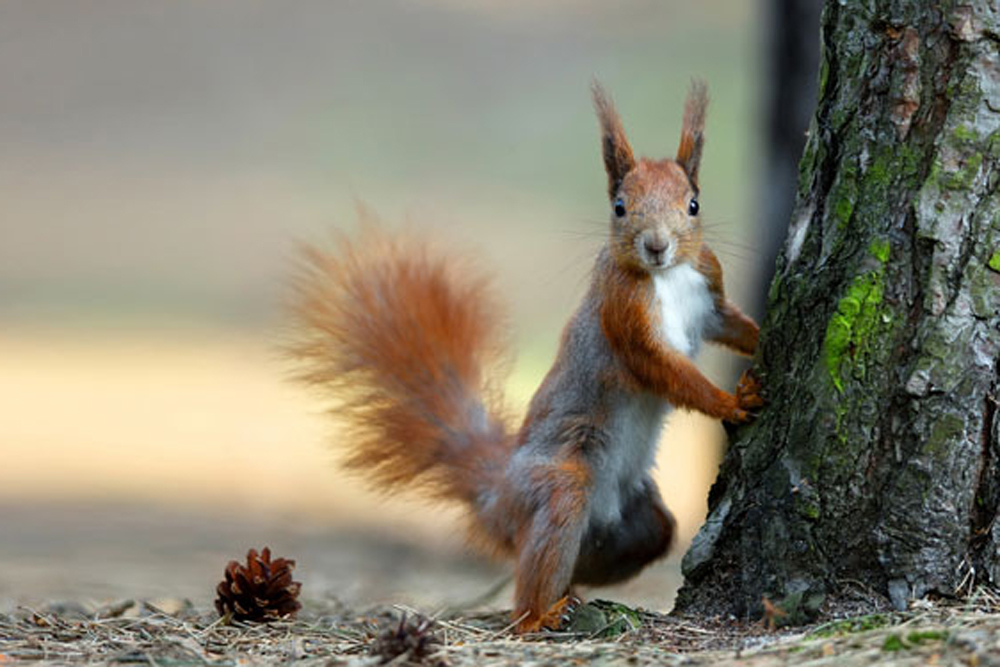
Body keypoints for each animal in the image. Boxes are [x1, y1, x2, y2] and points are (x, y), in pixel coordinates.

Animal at [289, 80, 762, 634]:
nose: (656, 246)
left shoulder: (709, 293)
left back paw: (574, 590)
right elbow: (668, 372)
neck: (669, 277)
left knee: (624, 539)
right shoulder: (626, 321)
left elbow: (731, 324)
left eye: (693, 204)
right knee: (531, 572)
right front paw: (731, 402)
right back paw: (542, 613)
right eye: (620, 206)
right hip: (558, 485)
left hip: (638, 522)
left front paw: (758, 340)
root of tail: (498, 495)